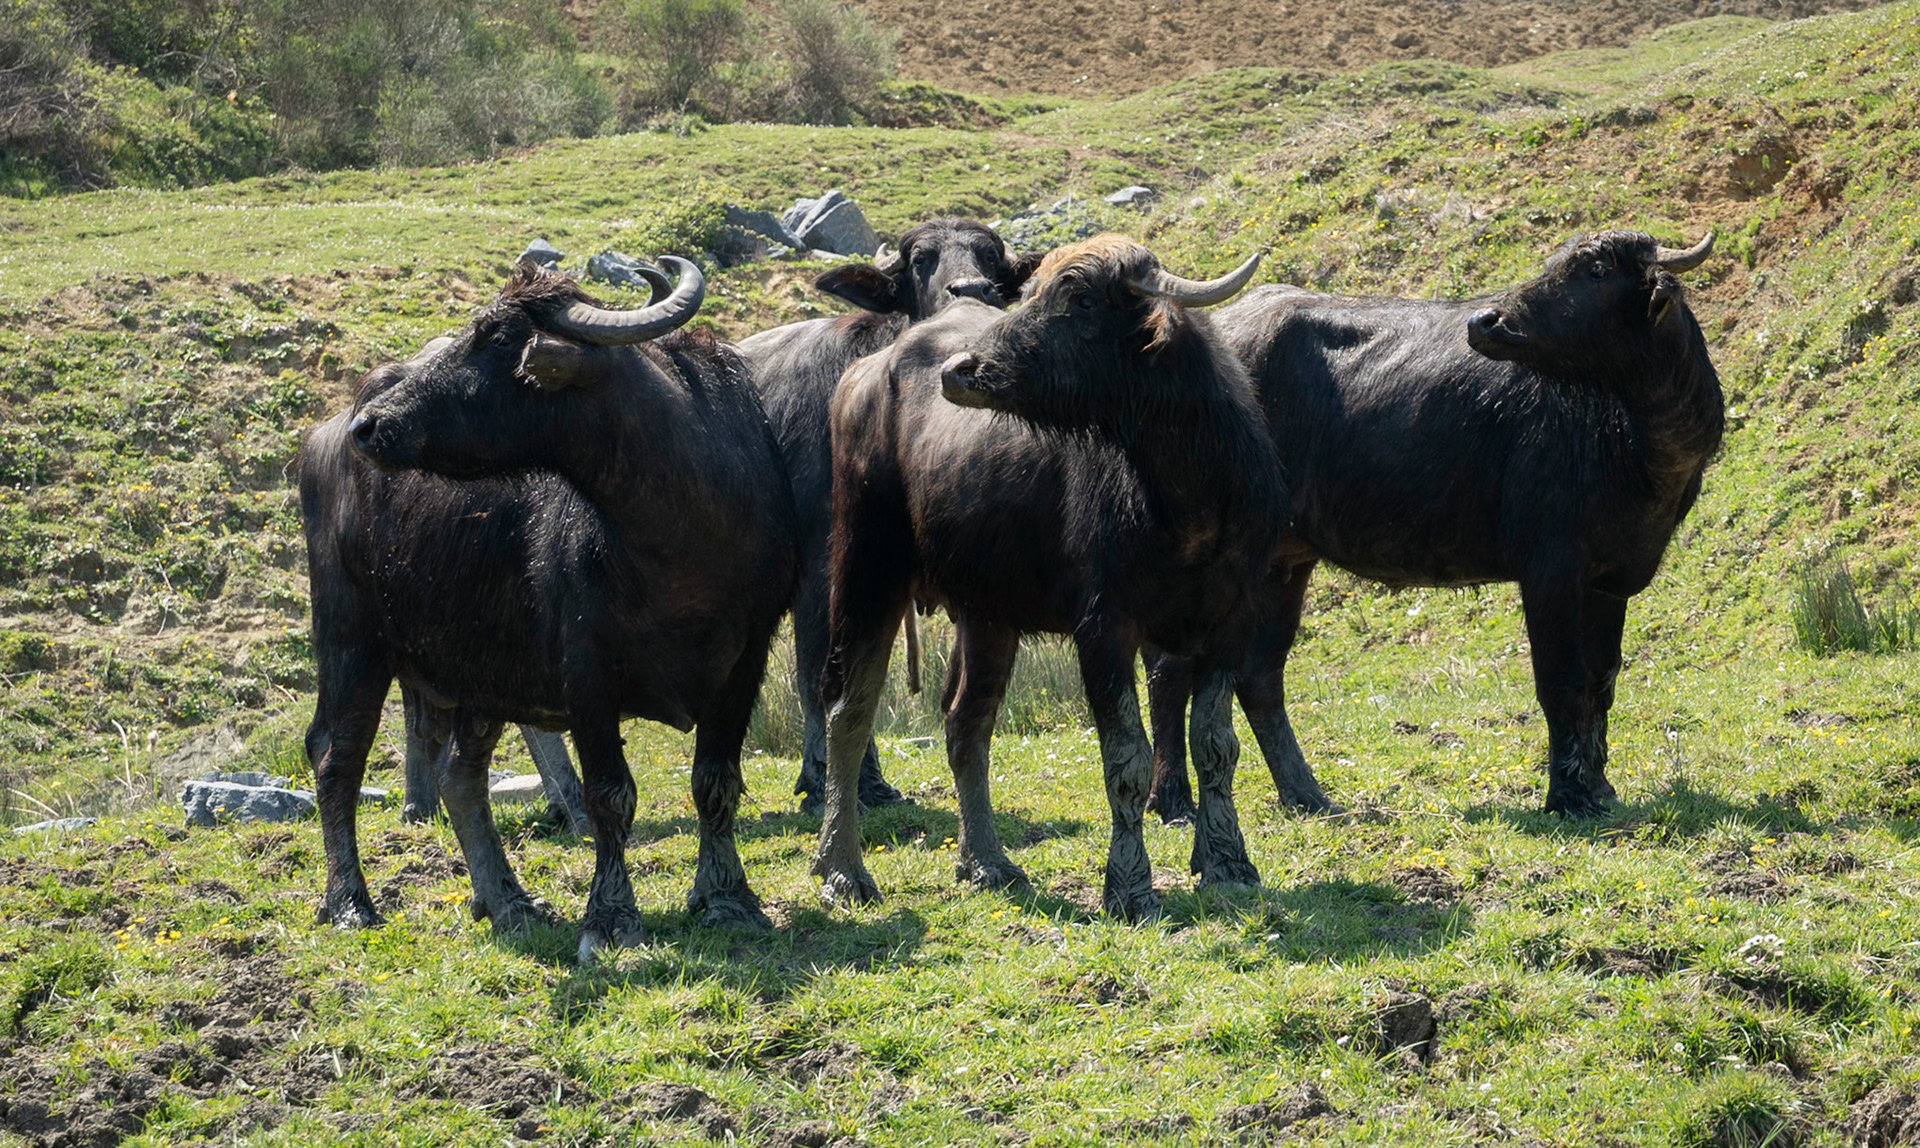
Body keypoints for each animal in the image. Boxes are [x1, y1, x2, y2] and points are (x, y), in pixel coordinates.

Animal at [301, 259, 797, 961]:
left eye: (497, 337)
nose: (370, 426)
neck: (676, 536)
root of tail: (324, 436)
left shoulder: (745, 663)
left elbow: (716, 781)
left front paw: (729, 899)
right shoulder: (586, 670)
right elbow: (611, 795)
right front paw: (611, 920)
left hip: (481, 671)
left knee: (460, 775)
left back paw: (508, 901)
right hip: (350, 640)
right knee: (335, 757)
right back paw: (350, 903)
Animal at [736, 218, 1041, 813]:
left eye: (990, 258)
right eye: (922, 260)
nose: (973, 289)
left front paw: (869, 782)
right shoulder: (826, 566)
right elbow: (822, 669)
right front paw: (826, 781)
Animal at [808, 236, 1283, 920]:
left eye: (1081, 300)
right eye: (1030, 294)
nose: (960, 371)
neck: (1183, 495)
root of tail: (864, 375)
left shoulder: (1232, 620)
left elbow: (1216, 744)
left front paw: (1228, 863)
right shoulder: (1103, 629)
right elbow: (1126, 758)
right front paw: (1129, 886)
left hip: (988, 612)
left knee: (966, 721)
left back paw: (986, 862)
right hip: (866, 568)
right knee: (848, 710)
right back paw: (842, 870)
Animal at [1147, 229, 1722, 820]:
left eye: (1598, 270)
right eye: (1558, 265)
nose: (1485, 321)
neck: (1635, 438)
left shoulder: (1611, 581)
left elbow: (1600, 682)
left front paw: (1601, 786)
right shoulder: (1549, 569)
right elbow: (1560, 682)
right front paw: (1568, 795)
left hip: (1284, 561)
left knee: (1259, 677)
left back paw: (1308, 795)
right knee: (1170, 670)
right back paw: (1173, 801)